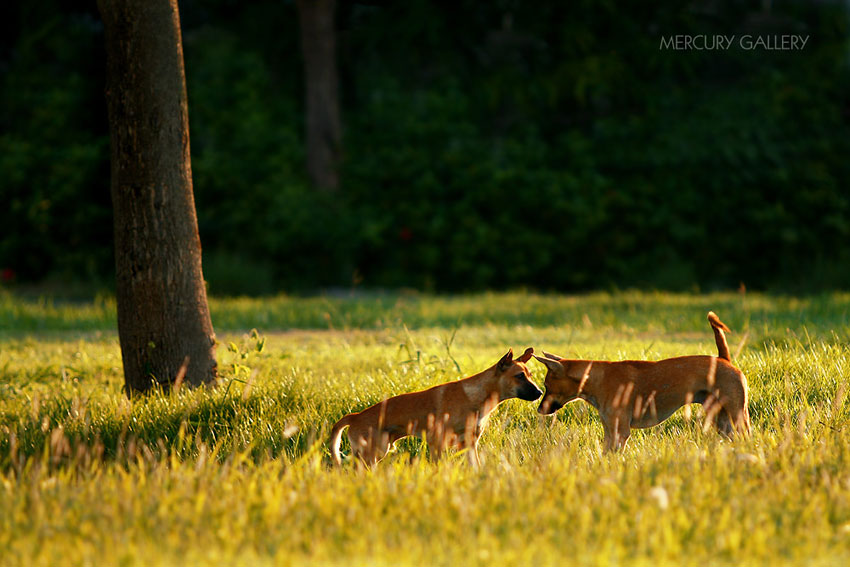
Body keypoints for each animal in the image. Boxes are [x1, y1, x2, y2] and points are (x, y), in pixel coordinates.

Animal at [328, 348, 540, 468]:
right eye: (519, 376)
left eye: (529, 374)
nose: (539, 393)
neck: (477, 395)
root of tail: (356, 416)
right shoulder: (437, 442)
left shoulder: (470, 444)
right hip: (372, 453)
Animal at [532, 312, 744, 450]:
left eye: (547, 386)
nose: (539, 409)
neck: (595, 378)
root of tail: (724, 359)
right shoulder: (610, 430)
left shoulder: (620, 432)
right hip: (722, 420)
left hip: (738, 415)